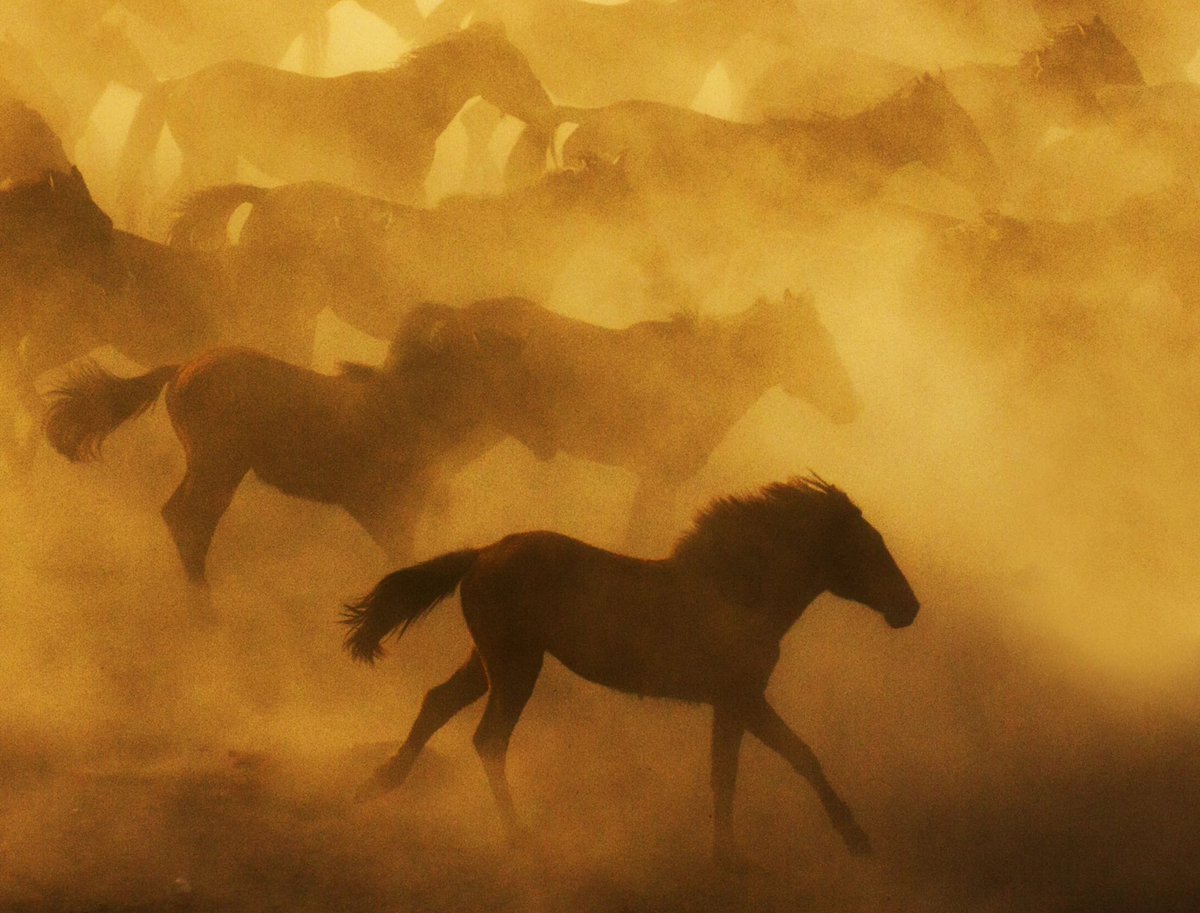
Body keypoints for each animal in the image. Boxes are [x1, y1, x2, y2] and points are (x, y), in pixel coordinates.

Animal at [42, 304, 511, 602]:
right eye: (471, 349)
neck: (408, 405)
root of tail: (181, 370)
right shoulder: (380, 506)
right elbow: (404, 553)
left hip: (208, 466)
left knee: (177, 514)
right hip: (219, 466)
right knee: (190, 519)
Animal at [116, 22, 555, 231]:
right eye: (511, 63)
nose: (546, 108)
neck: (406, 105)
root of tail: (178, 84)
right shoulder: (400, 189)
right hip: (212, 164)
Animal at [343, 475, 920, 869]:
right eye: (868, 547)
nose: (909, 608)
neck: (738, 589)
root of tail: (483, 553)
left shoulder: (731, 702)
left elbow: (726, 772)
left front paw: (726, 855)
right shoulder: (743, 697)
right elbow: (798, 755)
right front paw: (855, 840)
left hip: (489, 661)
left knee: (437, 703)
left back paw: (380, 784)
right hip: (515, 666)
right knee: (488, 739)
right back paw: (518, 837)